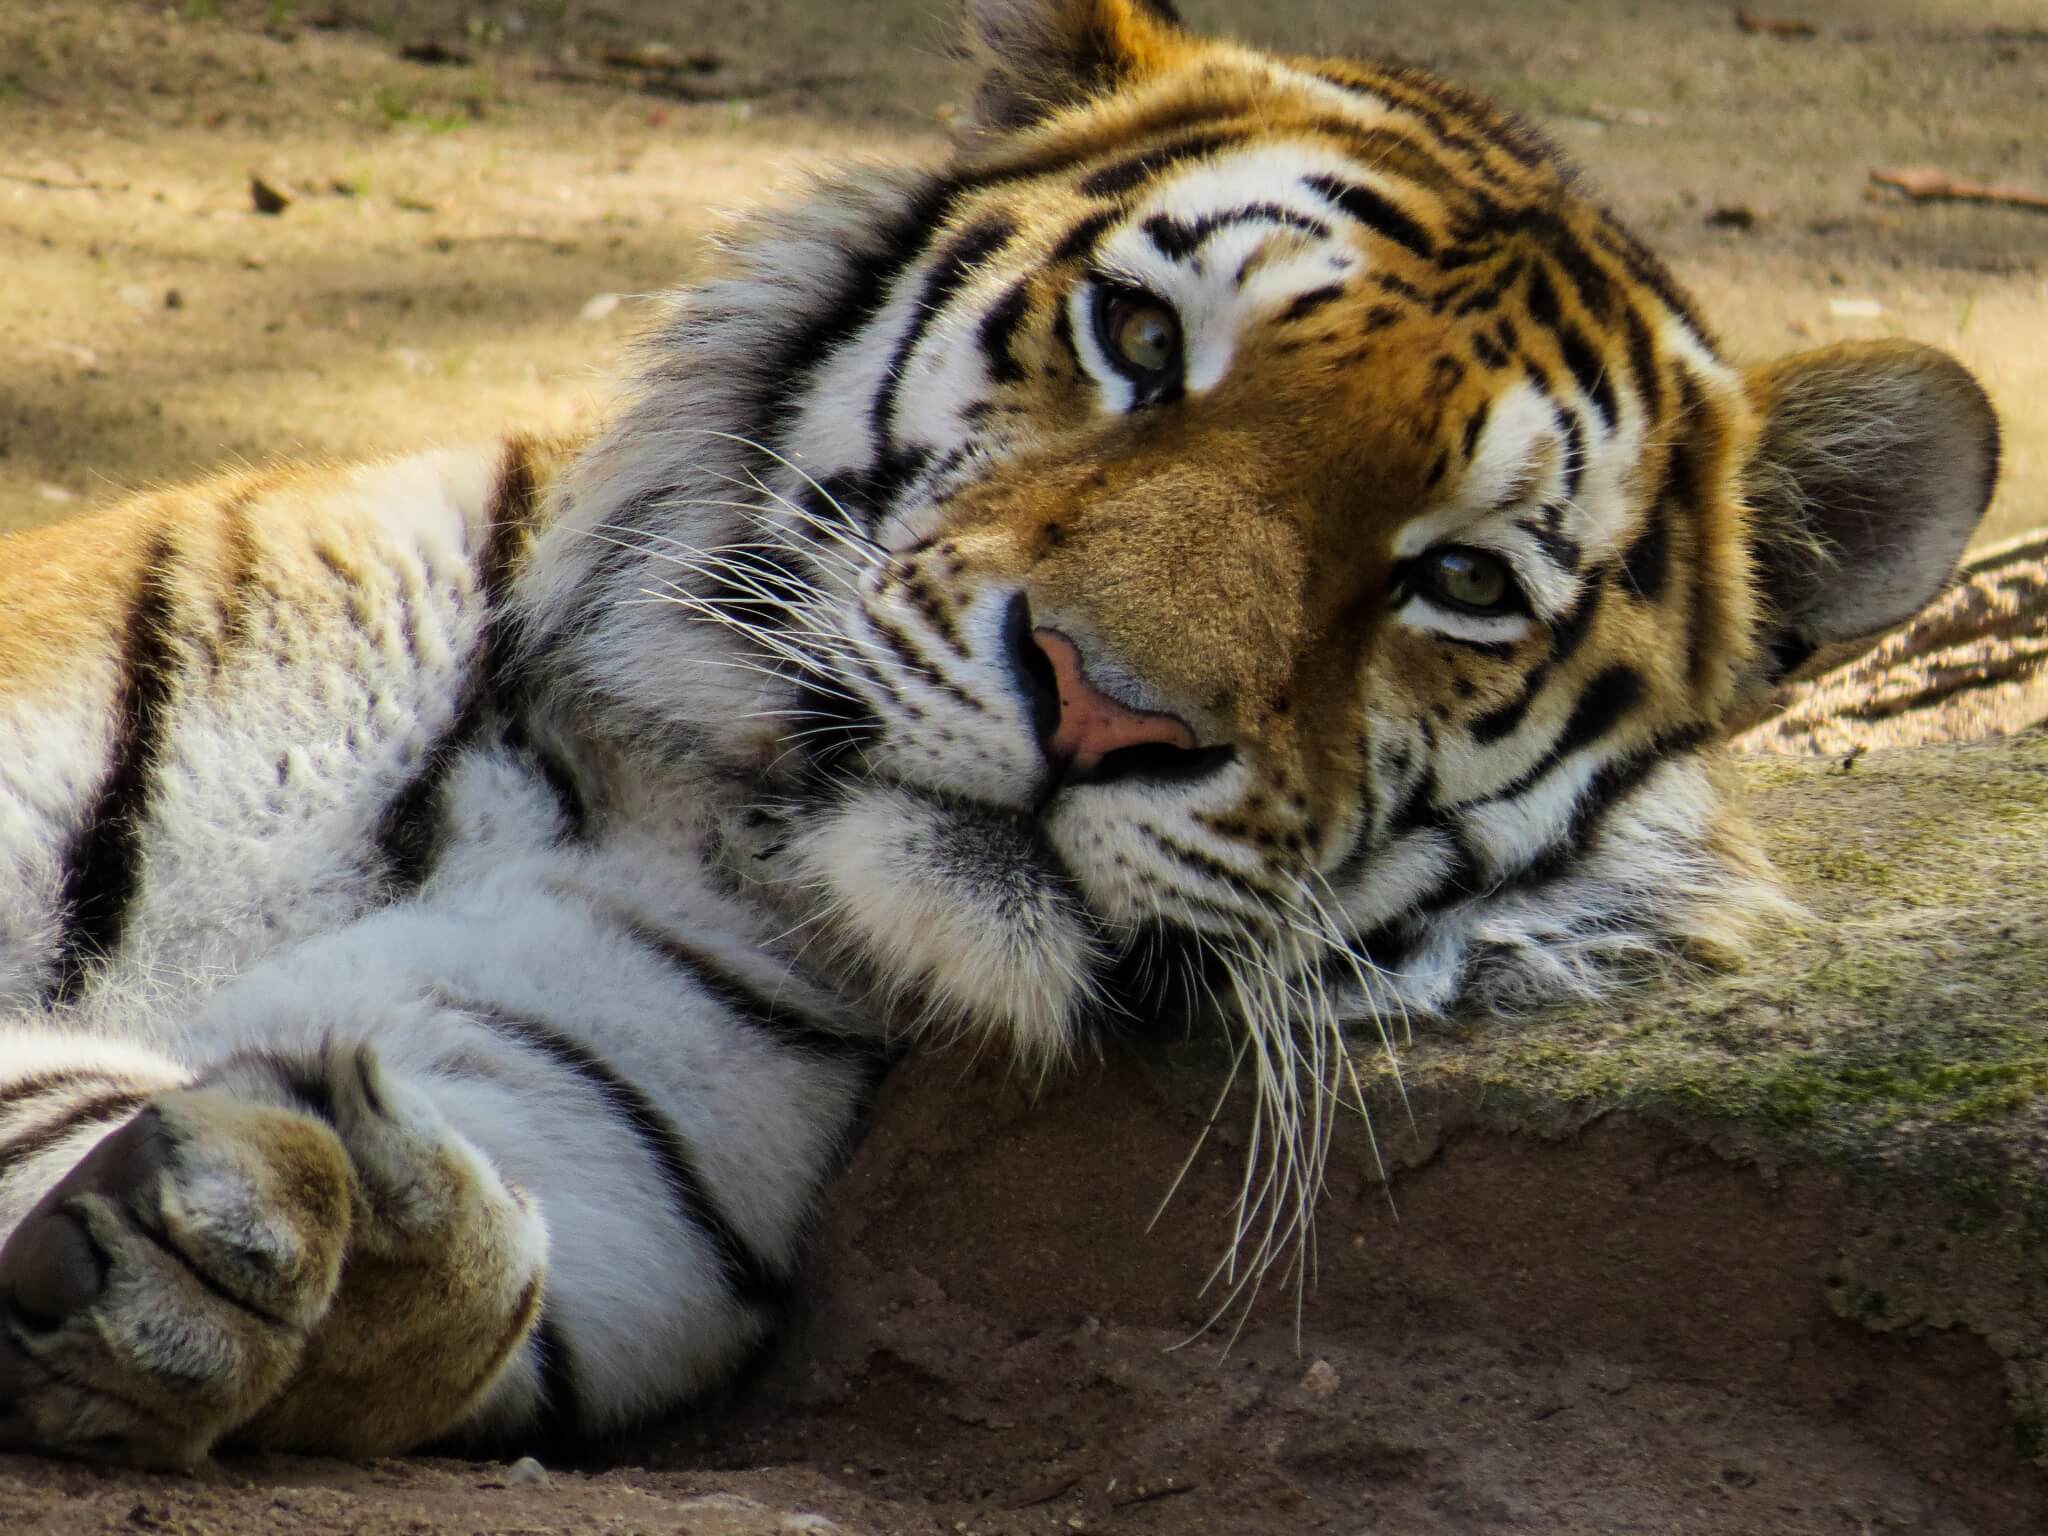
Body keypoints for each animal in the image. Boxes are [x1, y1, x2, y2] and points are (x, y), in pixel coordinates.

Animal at [0, 0, 1998, 1474]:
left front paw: (285, 1245)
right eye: (1138, 338)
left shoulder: (622, 1101)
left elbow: (475, 1269)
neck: (636, 771)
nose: (1103, 703)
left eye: (1464, 581)